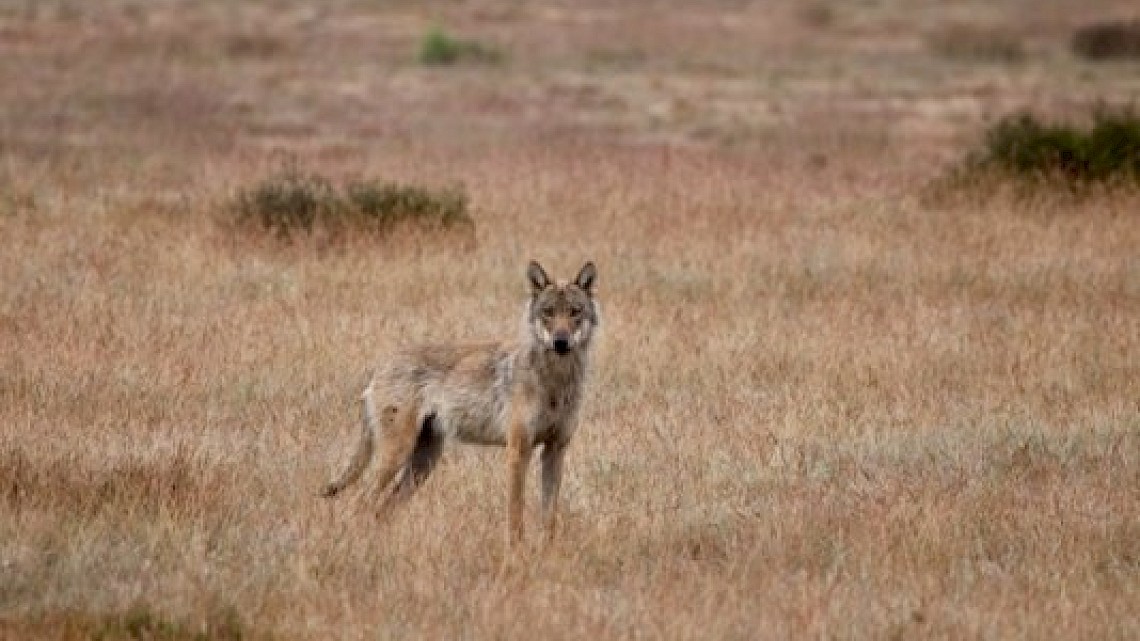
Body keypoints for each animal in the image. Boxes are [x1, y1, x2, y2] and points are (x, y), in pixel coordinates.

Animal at [323, 260, 597, 549]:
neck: (556, 381)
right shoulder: (518, 450)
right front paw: (516, 550)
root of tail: (379, 367)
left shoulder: (555, 450)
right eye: (548, 312)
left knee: (382, 508)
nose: (560, 342)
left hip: (422, 464)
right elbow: (515, 511)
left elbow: (549, 515)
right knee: (360, 502)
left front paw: (547, 550)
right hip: (396, 456)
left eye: (575, 312)